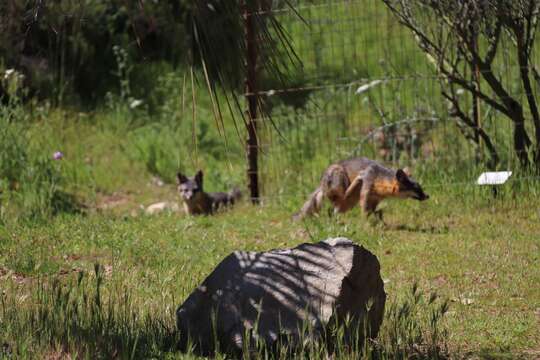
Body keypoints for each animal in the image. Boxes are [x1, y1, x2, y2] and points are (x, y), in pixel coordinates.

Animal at [294, 157, 428, 221]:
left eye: (421, 188)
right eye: (417, 189)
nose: (427, 196)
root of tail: (321, 181)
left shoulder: (375, 199)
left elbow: (373, 211)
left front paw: (377, 220)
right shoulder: (366, 184)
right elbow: (365, 210)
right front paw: (366, 224)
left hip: (348, 204)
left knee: (333, 210)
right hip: (341, 184)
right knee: (332, 208)